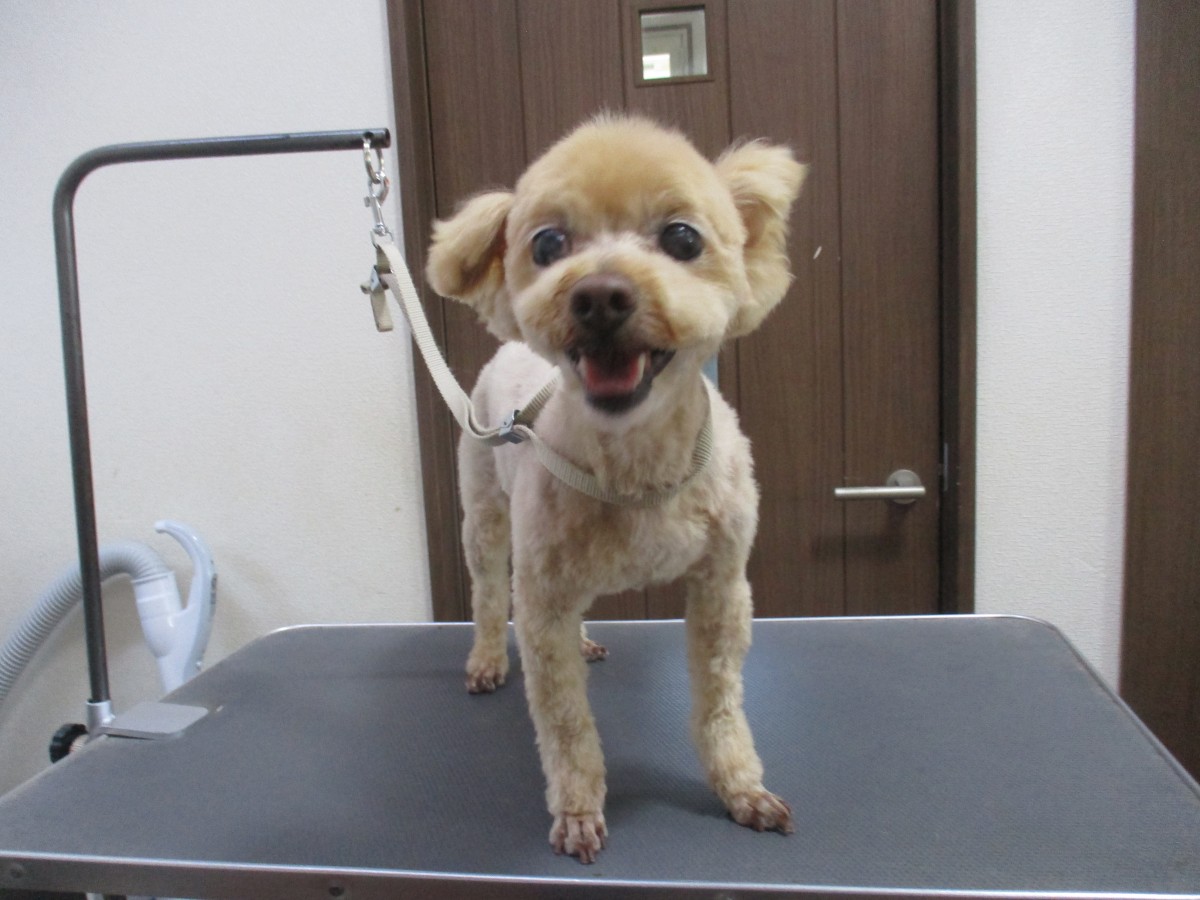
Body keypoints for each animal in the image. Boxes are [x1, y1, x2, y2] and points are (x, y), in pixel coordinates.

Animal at [425, 114, 806, 863]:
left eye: (683, 238)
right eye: (547, 244)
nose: (598, 294)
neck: (636, 465)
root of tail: (511, 350)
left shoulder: (721, 586)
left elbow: (719, 701)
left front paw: (739, 786)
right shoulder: (541, 601)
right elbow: (566, 722)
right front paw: (577, 809)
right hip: (485, 514)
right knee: (486, 590)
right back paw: (486, 658)